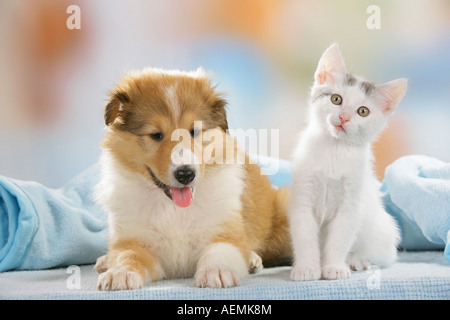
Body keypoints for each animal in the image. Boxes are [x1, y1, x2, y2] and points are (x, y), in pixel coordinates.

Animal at [95, 67, 292, 290]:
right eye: (156, 135)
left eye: (194, 131)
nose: (185, 174)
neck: (174, 209)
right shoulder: (135, 240)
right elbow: (127, 255)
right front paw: (120, 272)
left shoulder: (224, 231)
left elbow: (219, 250)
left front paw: (216, 271)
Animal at [288, 44, 404, 280]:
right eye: (336, 99)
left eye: (363, 111)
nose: (344, 118)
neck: (335, 149)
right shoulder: (303, 198)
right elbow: (305, 236)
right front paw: (307, 268)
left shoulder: (350, 203)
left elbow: (340, 238)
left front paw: (334, 267)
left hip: (381, 231)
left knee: (384, 256)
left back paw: (357, 260)